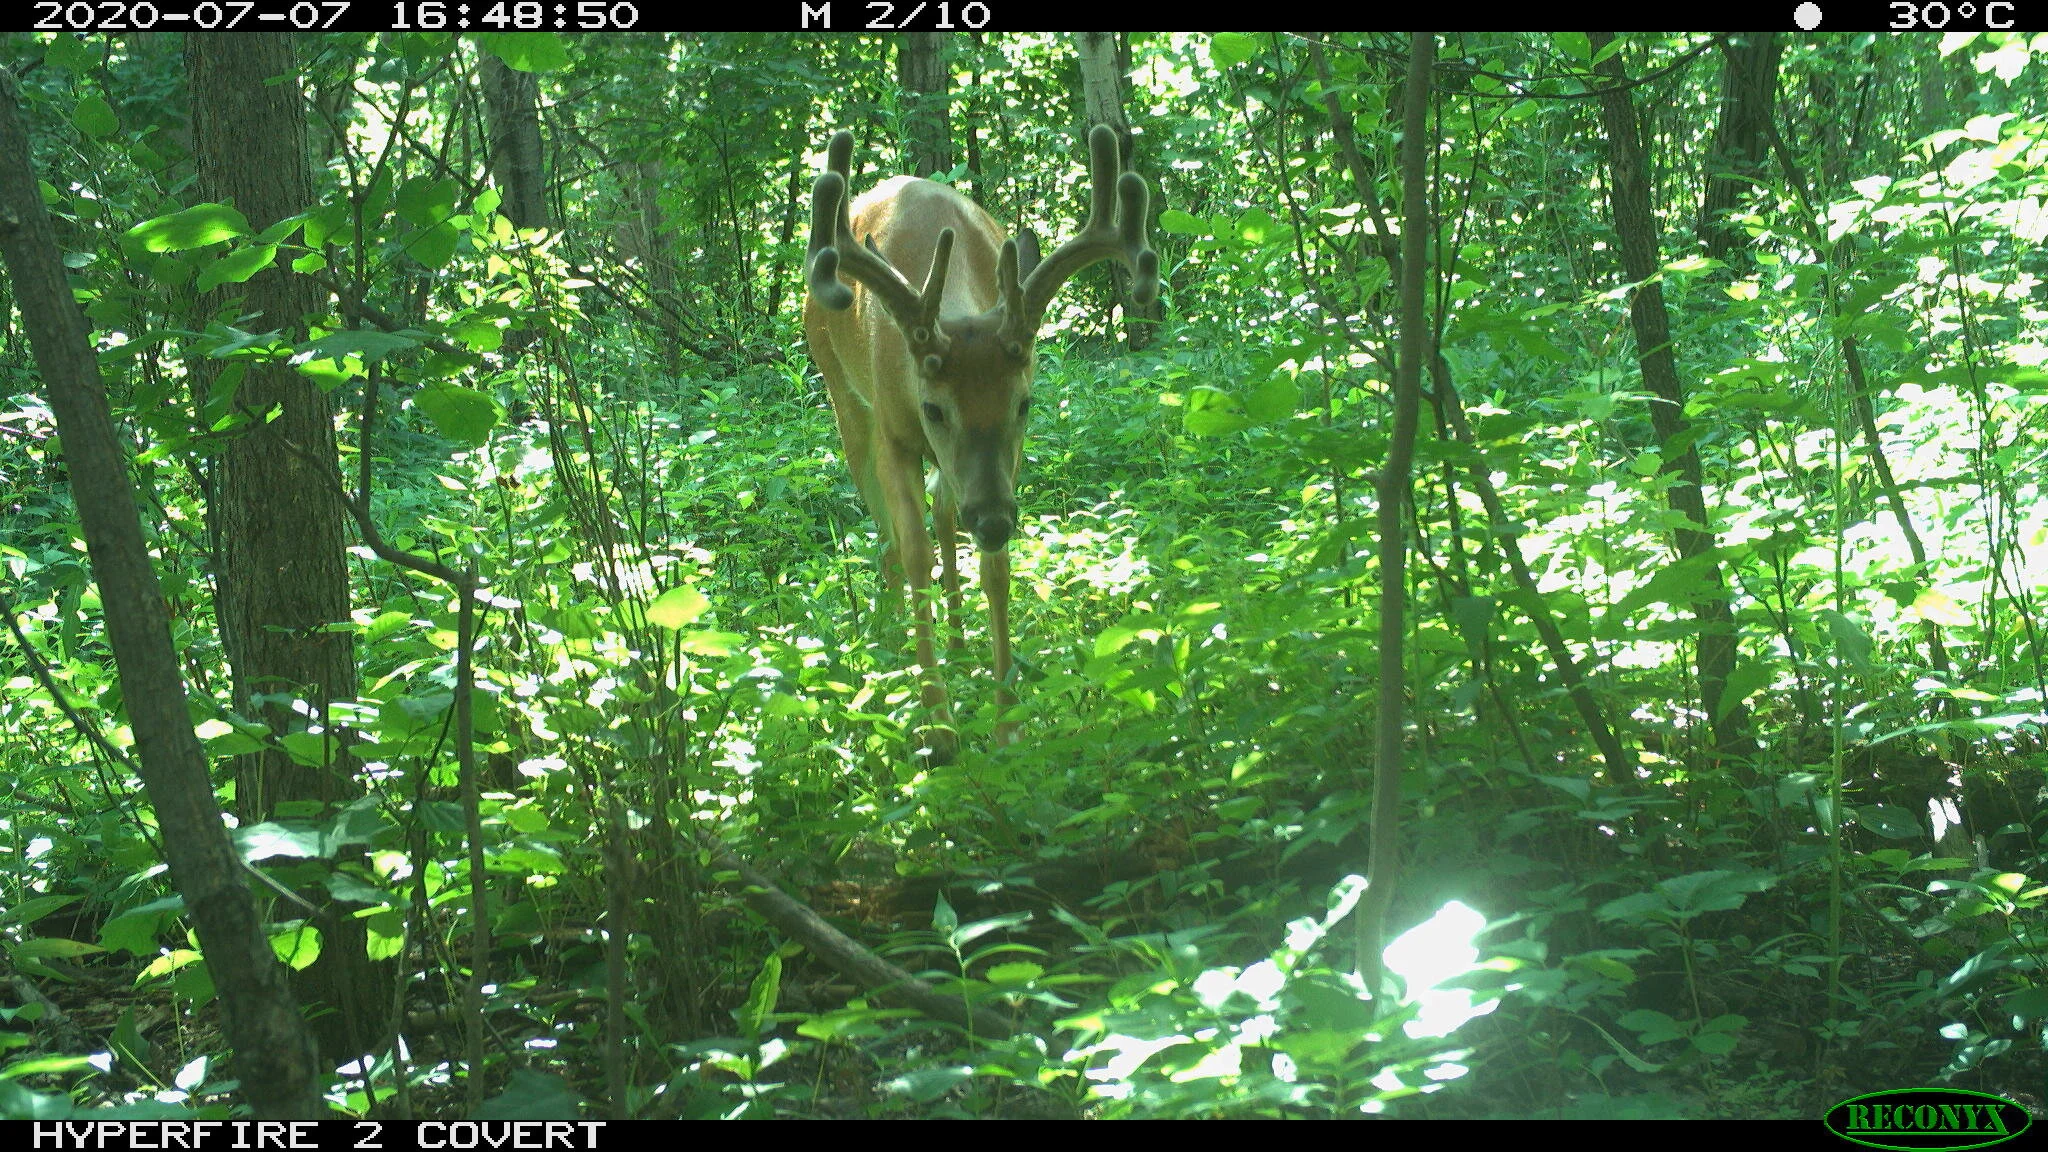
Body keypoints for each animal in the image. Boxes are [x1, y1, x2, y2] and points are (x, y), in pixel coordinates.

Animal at [803, 125, 1159, 764]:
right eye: (933, 408)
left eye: (1024, 403)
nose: (992, 520)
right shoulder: (896, 433)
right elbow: (913, 554)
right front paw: (939, 731)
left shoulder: (1006, 461)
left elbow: (994, 569)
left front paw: (1007, 725)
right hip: (842, 394)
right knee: (887, 540)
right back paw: (888, 646)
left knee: (945, 511)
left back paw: (958, 639)